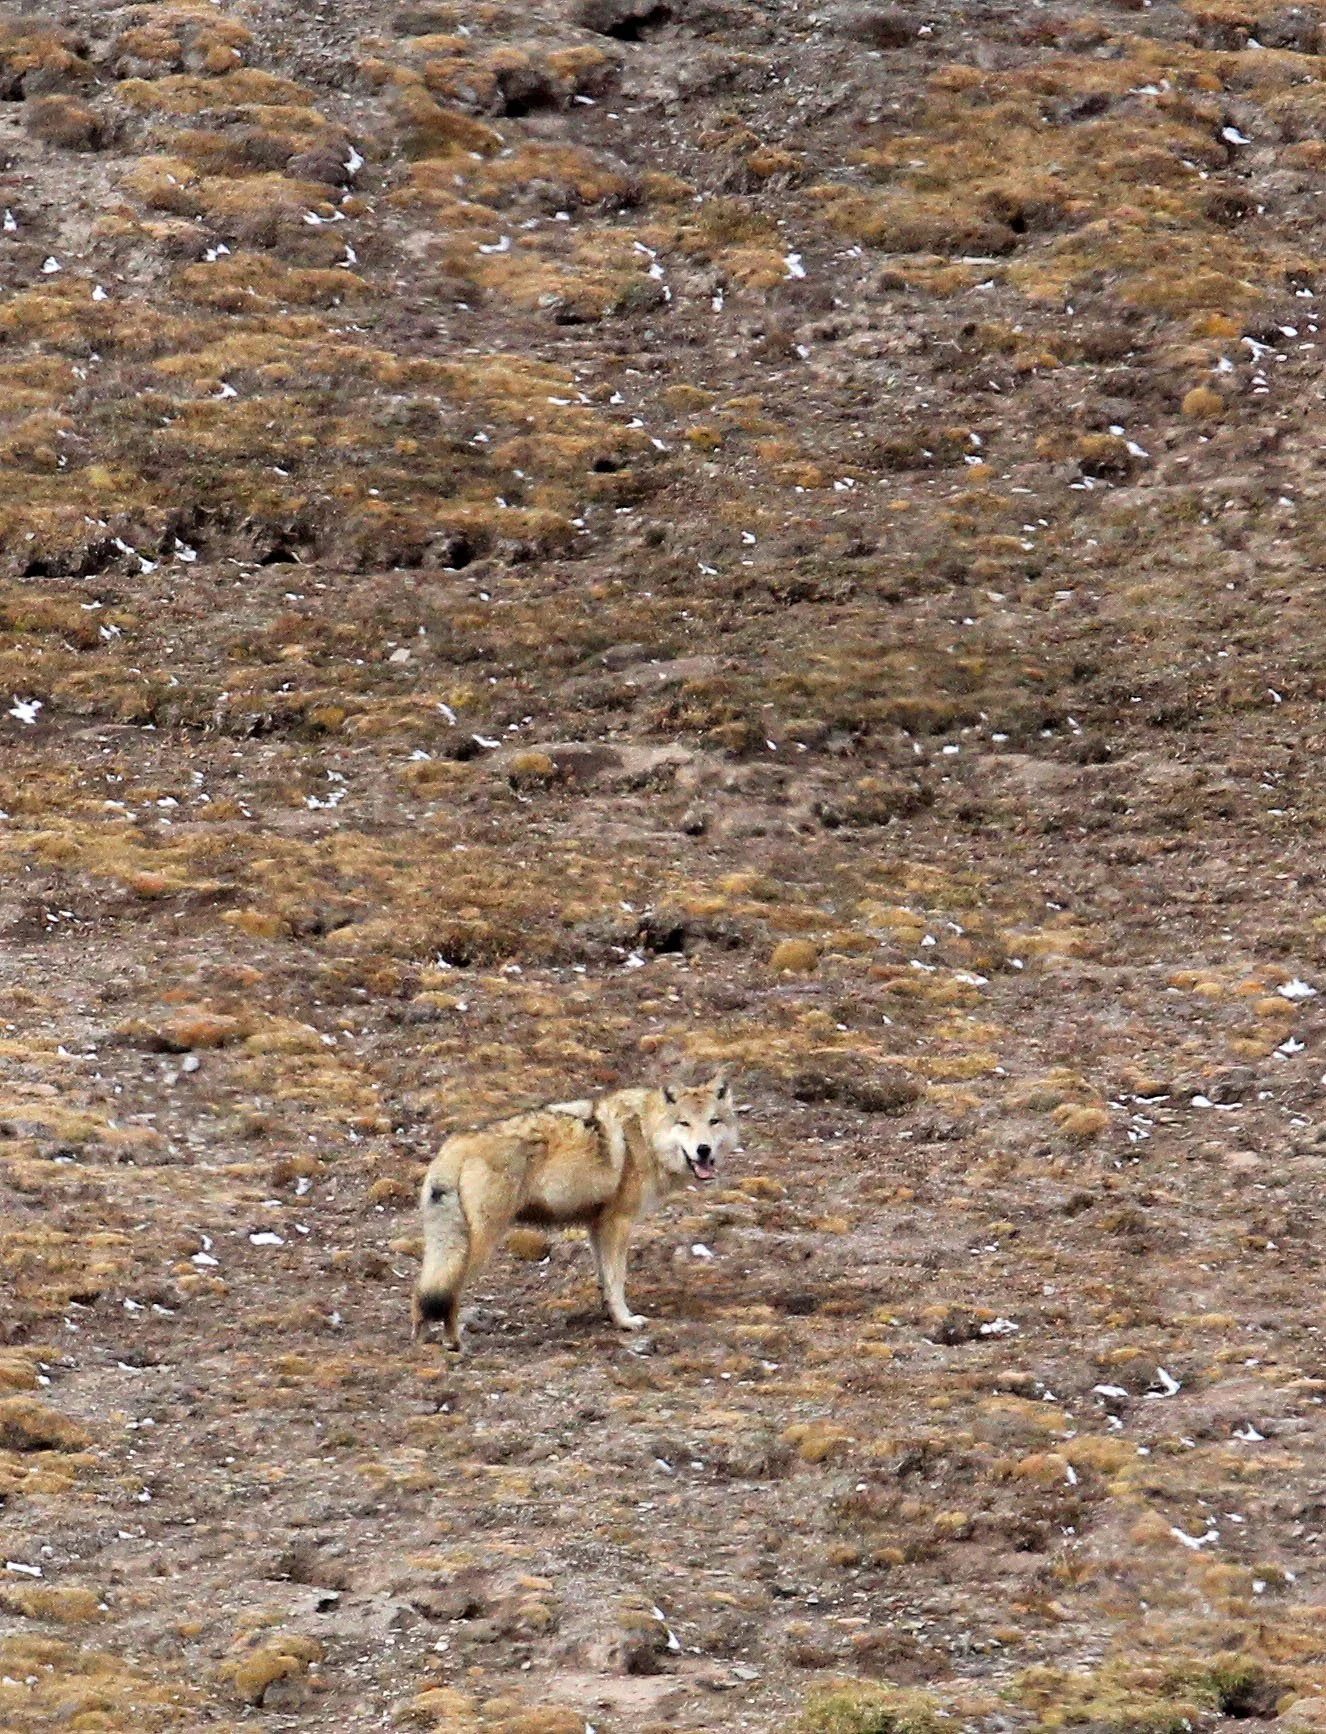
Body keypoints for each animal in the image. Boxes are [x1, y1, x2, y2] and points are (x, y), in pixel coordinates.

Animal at [412, 1074, 737, 1349]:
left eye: (713, 1121)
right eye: (684, 1123)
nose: (704, 1150)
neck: (644, 1135)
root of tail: (456, 1144)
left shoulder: (596, 1226)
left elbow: (604, 1280)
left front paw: (610, 1317)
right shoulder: (618, 1223)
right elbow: (617, 1279)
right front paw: (627, 1321)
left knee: (422, 1292)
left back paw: (421, 1343)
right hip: (480, 1245)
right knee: (448, 1294)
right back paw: (454, 1343)